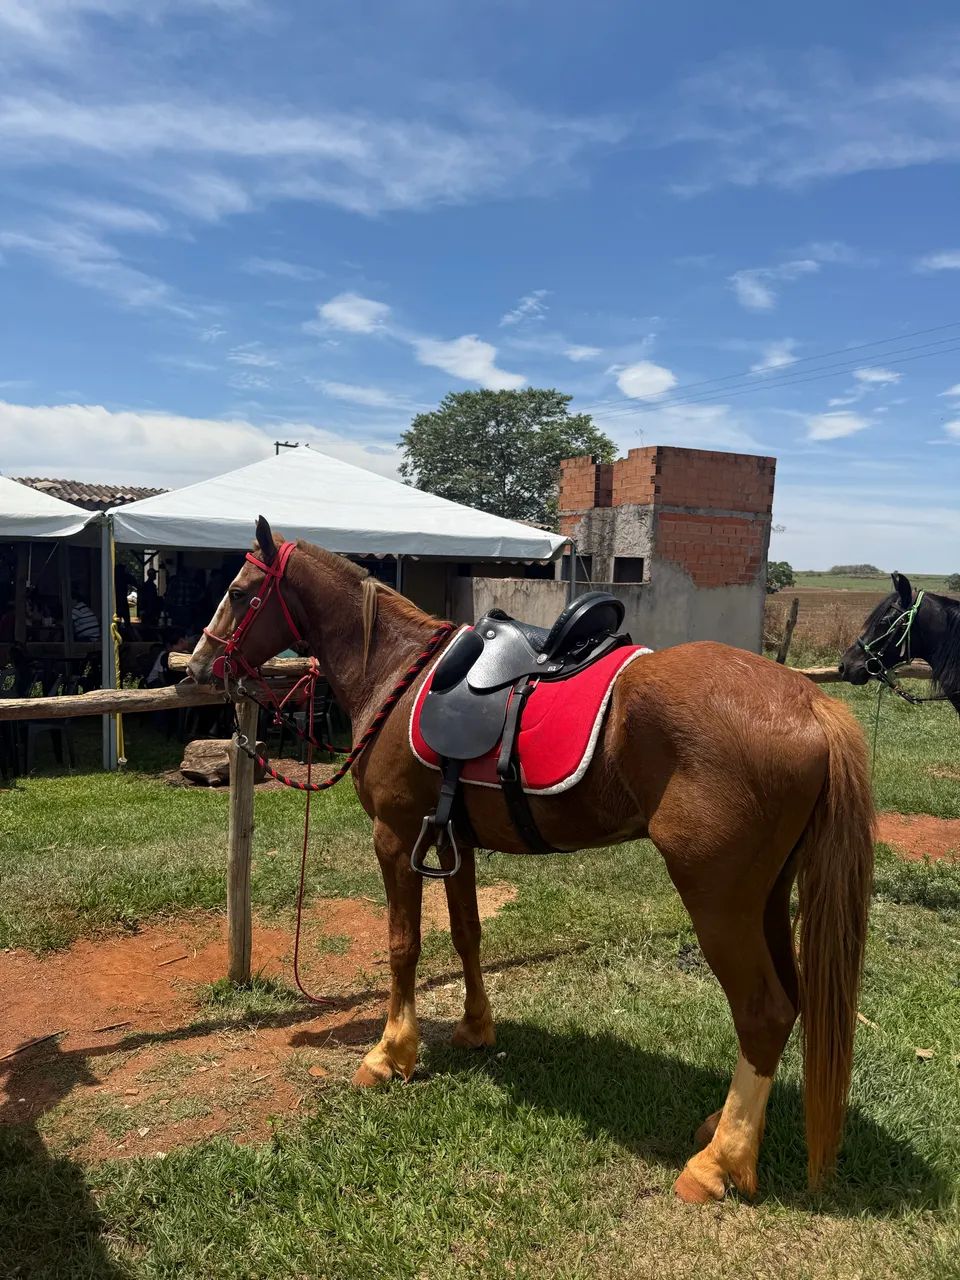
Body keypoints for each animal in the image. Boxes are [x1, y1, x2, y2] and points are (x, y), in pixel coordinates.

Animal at [186, 517, 875, 1205]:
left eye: (242, 592)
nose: (197, 665)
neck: (396, 672)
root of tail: (810, 704)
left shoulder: (395, 837)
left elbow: (404, 945)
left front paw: (390, 1053)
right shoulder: (451, 840)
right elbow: (466, 933)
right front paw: (475, 1029)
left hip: (718, 901)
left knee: (763, 1012)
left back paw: (718, 1163)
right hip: (768, 896)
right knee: (791, 1002)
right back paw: (724, 1128)